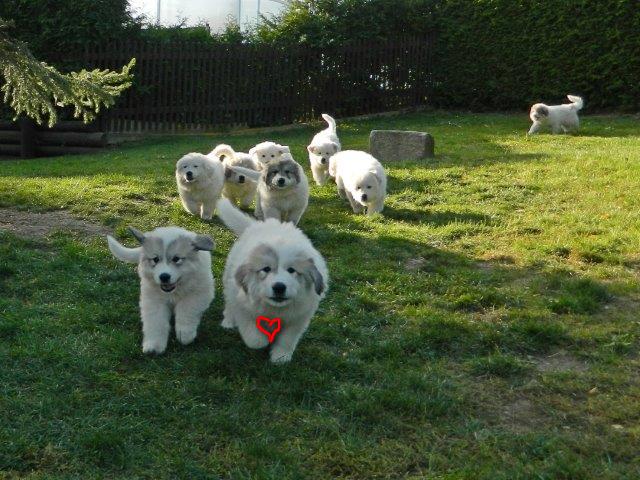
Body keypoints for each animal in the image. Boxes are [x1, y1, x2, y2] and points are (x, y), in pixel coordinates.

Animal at [216, 198, 328, 364]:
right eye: (266, 269)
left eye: (291, 270)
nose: (279, 287)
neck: (276, 309)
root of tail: (259, 225)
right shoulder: (243, 307)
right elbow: (254, 338)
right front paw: (263, 341)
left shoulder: (298, 318)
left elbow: (287, 339)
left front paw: (280, 357)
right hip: (230, 281)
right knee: (229, 303)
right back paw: (228, 322)